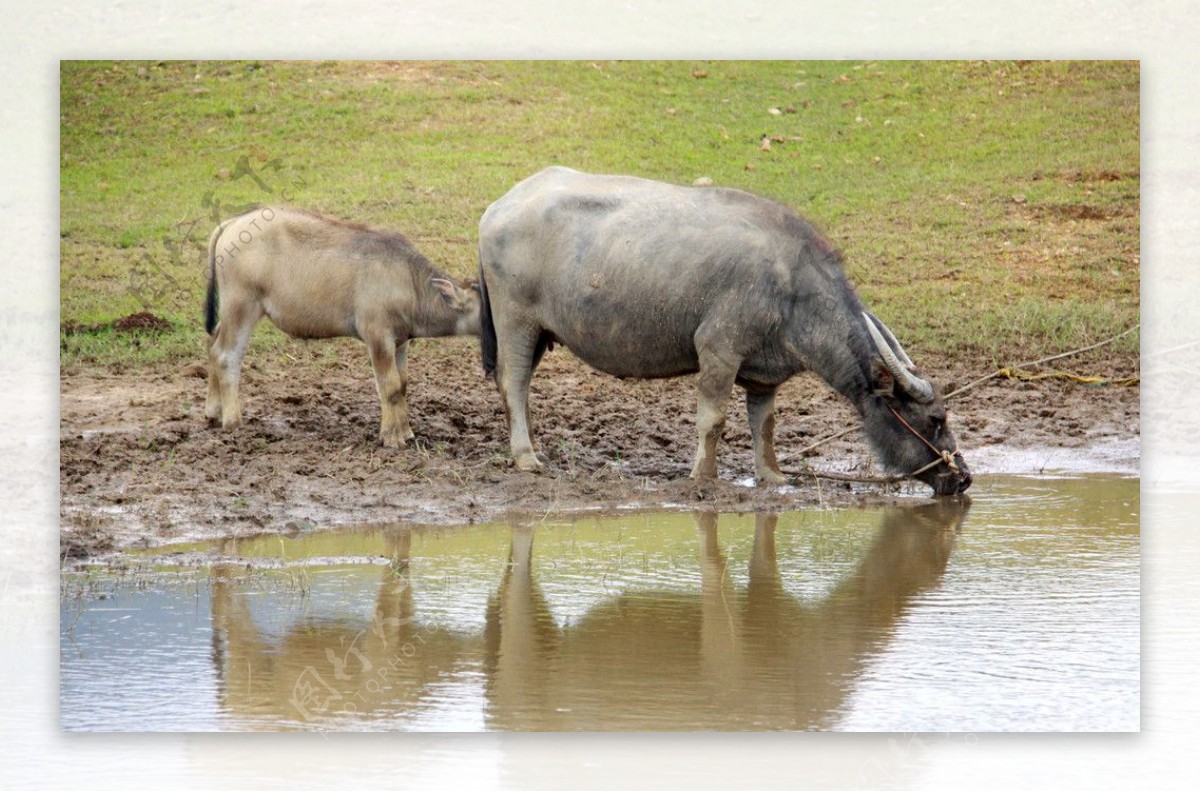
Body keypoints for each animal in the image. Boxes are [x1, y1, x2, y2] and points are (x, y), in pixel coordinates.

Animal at [204, 207, 480, 448]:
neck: (408, 280)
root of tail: (233, 222)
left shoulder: (401, 341)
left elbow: (402, 385)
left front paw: (407, 432)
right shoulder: (378, 337)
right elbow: (389, 387)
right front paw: (392, 437)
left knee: (213, 346)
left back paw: (213, 412)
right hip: (242, 306)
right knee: (226, 355)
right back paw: (232, 420)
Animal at [472, 168, 969, 494]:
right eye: (936, 419)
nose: (962, 478)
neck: (792, 288)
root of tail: (498, 207)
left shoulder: (763, 374)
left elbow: (764, 425)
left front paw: (771, 476)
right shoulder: (718, 350)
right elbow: (712, 419)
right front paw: (703, 476)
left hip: (540, 333)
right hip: (516, 322)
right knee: (513, 382)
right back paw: (526, 457)